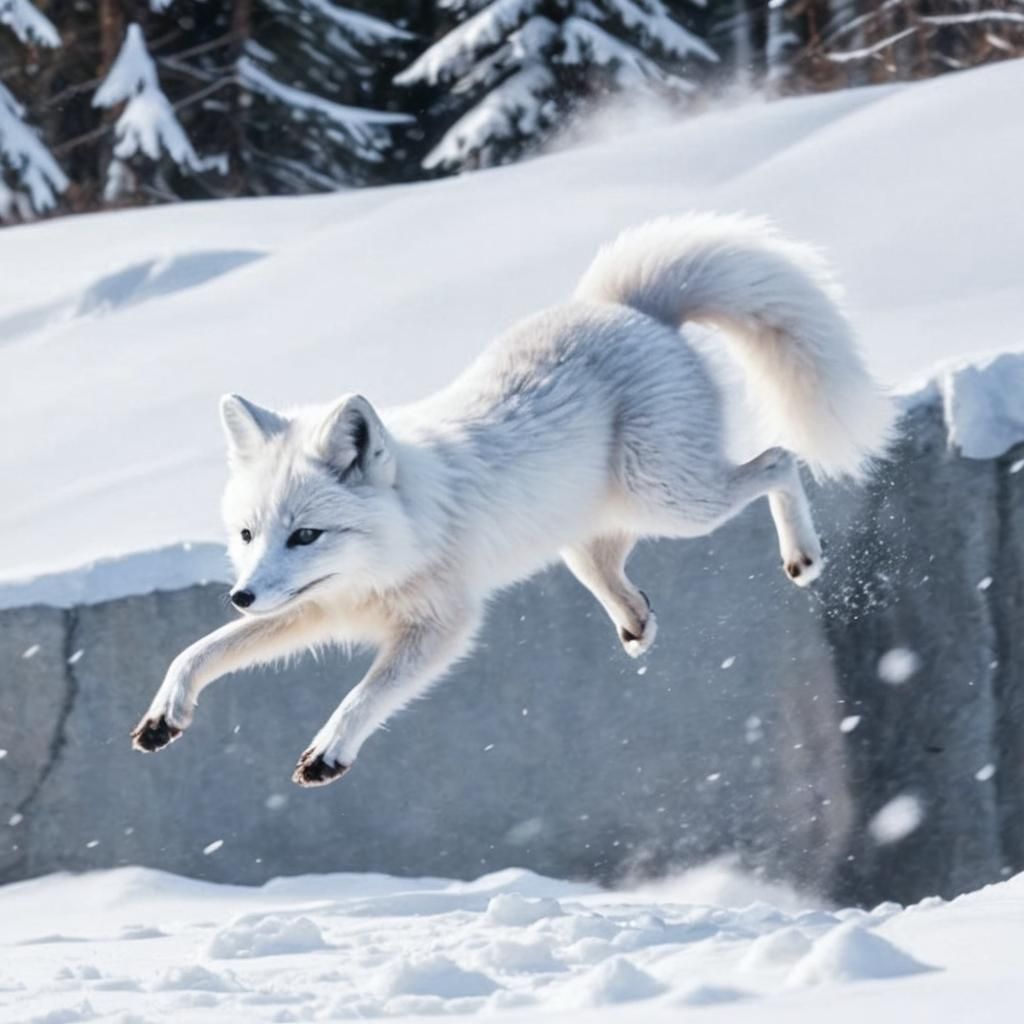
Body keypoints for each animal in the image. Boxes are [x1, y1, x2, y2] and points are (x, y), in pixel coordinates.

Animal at [131, 213, 893, 787]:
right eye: (247, 535)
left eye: (306, 535)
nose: (241, 594)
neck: (398, 540)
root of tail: (627, 309)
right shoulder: (315, 614)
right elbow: (199, 650)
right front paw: (164, 716)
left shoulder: (440, 628)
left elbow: (365, 693)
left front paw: (328, 752)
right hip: (598, 522)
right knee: (609, 566)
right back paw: (636, 623)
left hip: (673, 499)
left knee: (779, 459)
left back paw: (804, 558)